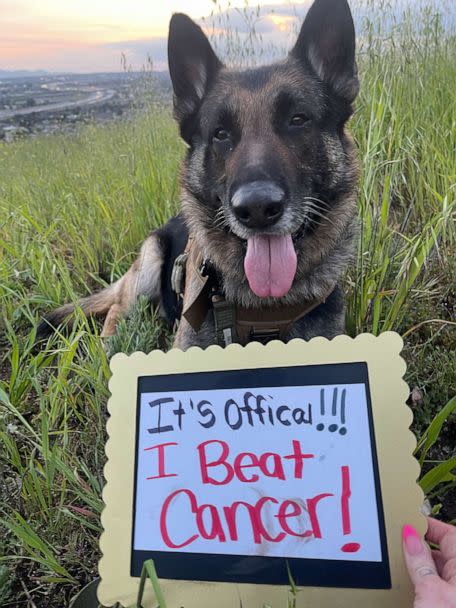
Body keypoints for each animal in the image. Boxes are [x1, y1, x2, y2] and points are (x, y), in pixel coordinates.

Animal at [38, 0, 360, 352]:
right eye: (220, 134)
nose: (256, 209)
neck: (264, 309)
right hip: (148, 268)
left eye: (298, 120)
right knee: (116, 312)